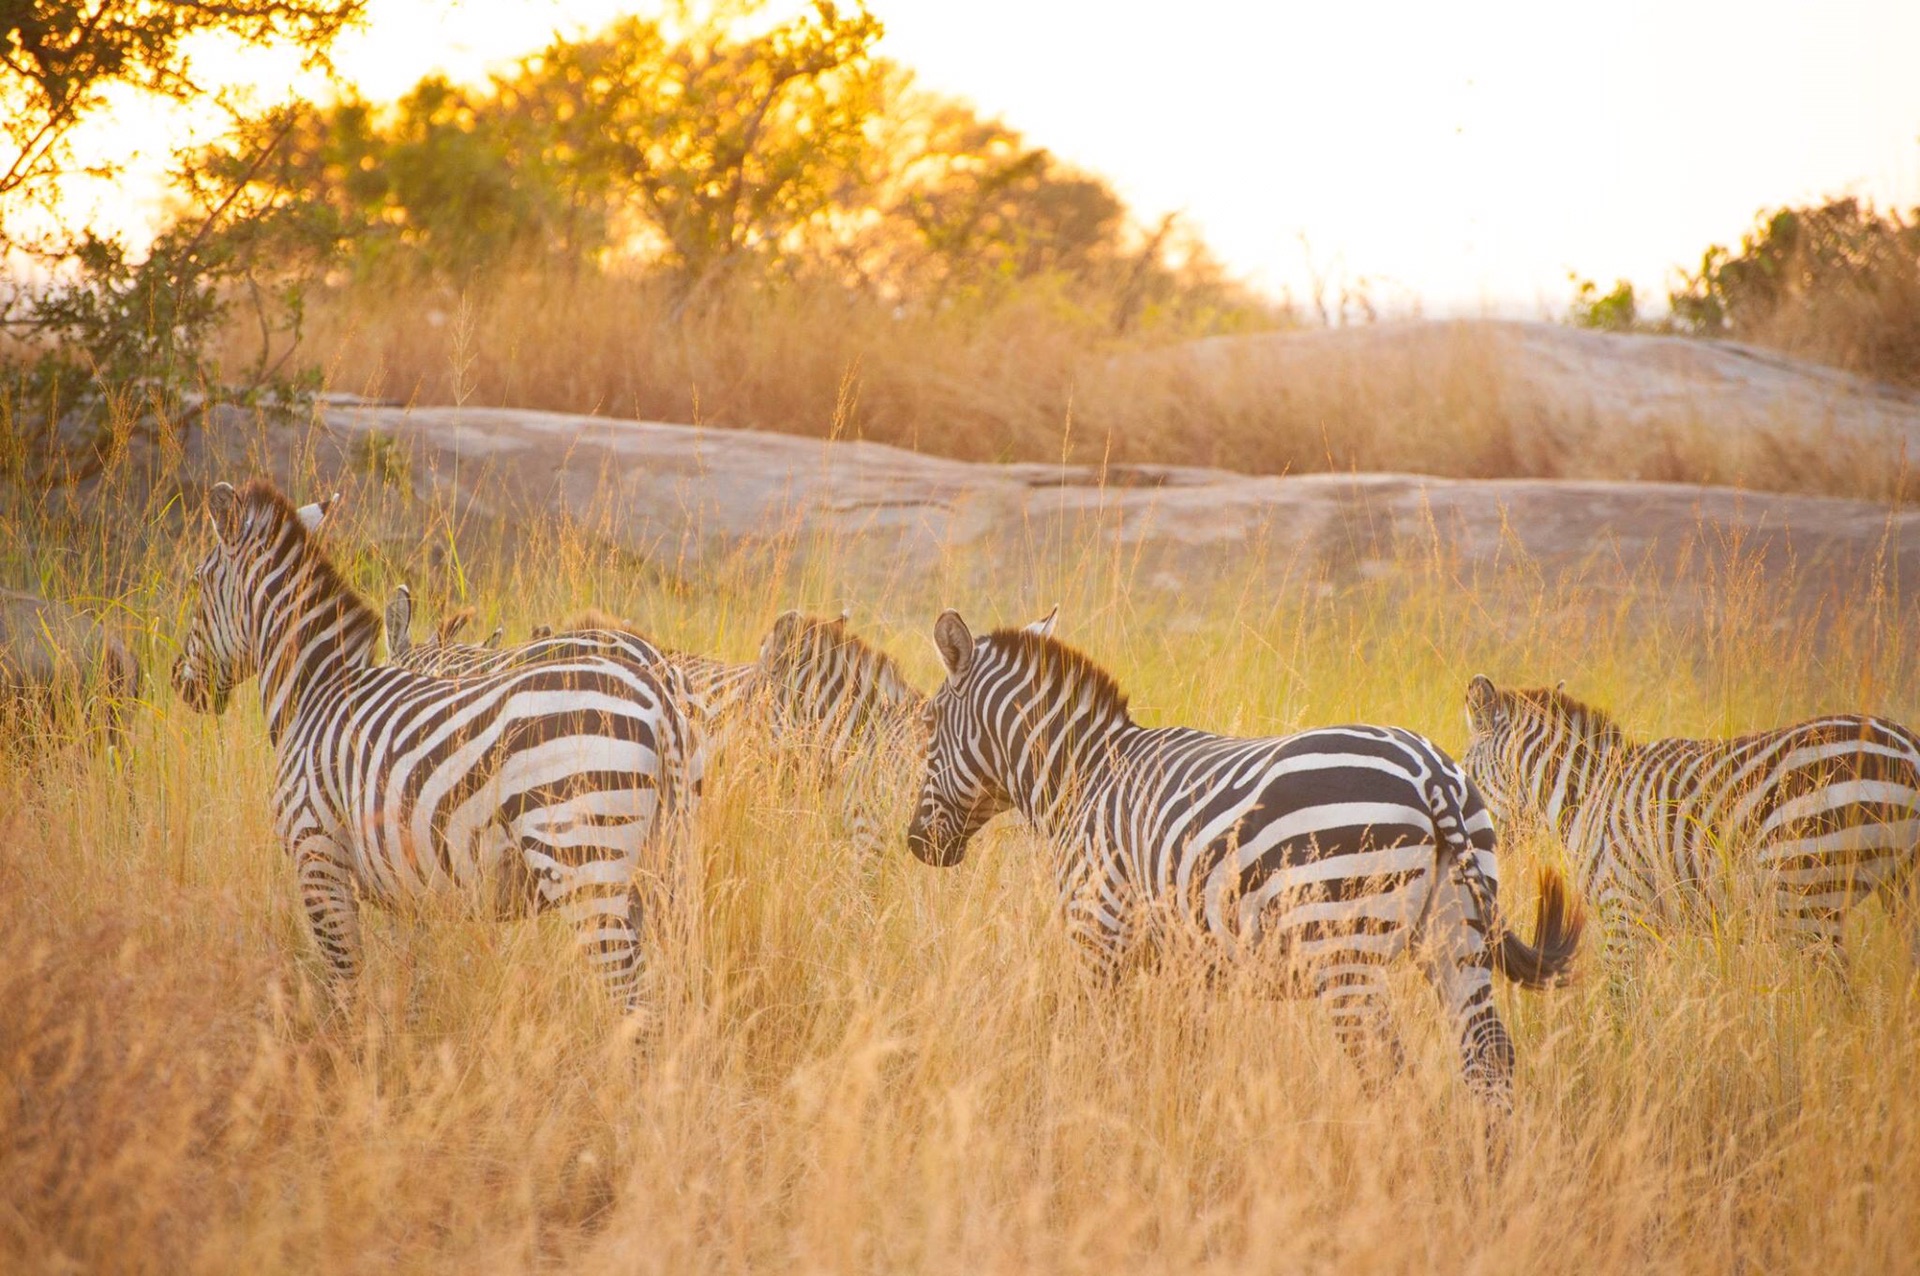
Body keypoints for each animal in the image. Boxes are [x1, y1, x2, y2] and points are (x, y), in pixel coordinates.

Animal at [174, 483, 706, 1013]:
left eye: (197, 584)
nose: (181, 682)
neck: (316, 691)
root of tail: (658, 699)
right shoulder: (400, 881)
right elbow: (409, 981)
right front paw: (400, 1032)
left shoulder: (318, 855)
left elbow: (345, 983)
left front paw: (345, 1036)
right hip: (665, 864)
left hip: (583, 859)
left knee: (633, 1001)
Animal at [906, 606, 1582, 1105]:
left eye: (930, 724)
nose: (916, 844)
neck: (1090, 775)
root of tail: (1430, 774)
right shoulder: (1185, 960)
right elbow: (1181, 1053)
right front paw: (1176, 1119)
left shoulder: (1098, 931)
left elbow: (1092, 1040)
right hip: (1458, 933)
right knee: (1487, 1060)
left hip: (1342, 949)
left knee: (1386, 1070)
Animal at [1459, 675, 1912, 955]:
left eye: (1463, 771)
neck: (1587, 795)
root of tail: (1907, 748)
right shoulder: (1659, 921)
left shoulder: (1624, 911)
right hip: (1896, 889)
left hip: (1808, 897)